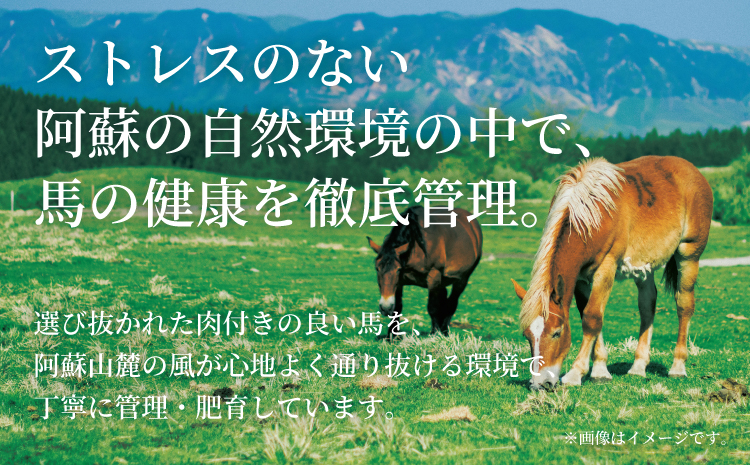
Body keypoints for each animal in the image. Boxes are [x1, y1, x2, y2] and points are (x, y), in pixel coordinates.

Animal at [367, 206, 483, 338]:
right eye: (377, 268)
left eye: (398, 269)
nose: (385, 308)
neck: (416, 248)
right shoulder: (399, 283)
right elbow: (398, 307)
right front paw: (392, 336)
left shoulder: (433, 275)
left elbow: (432, 307)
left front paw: (434, 334)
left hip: (462, 279)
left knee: (452, 303)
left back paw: (444, 331)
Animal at [511, 156, 713, 390]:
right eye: (527, 336)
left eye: (557, 332)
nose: (540, 384)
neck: (592, 212)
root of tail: (693, 171)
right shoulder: (581, 278)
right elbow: (589, 315)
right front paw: (600, 370)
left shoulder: (606, 267)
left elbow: (592, 318)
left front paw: (575, 373)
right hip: (644, 266)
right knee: (647, 307)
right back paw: (638, 367)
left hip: (689, 254)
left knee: (684, 306)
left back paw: (678, 366)